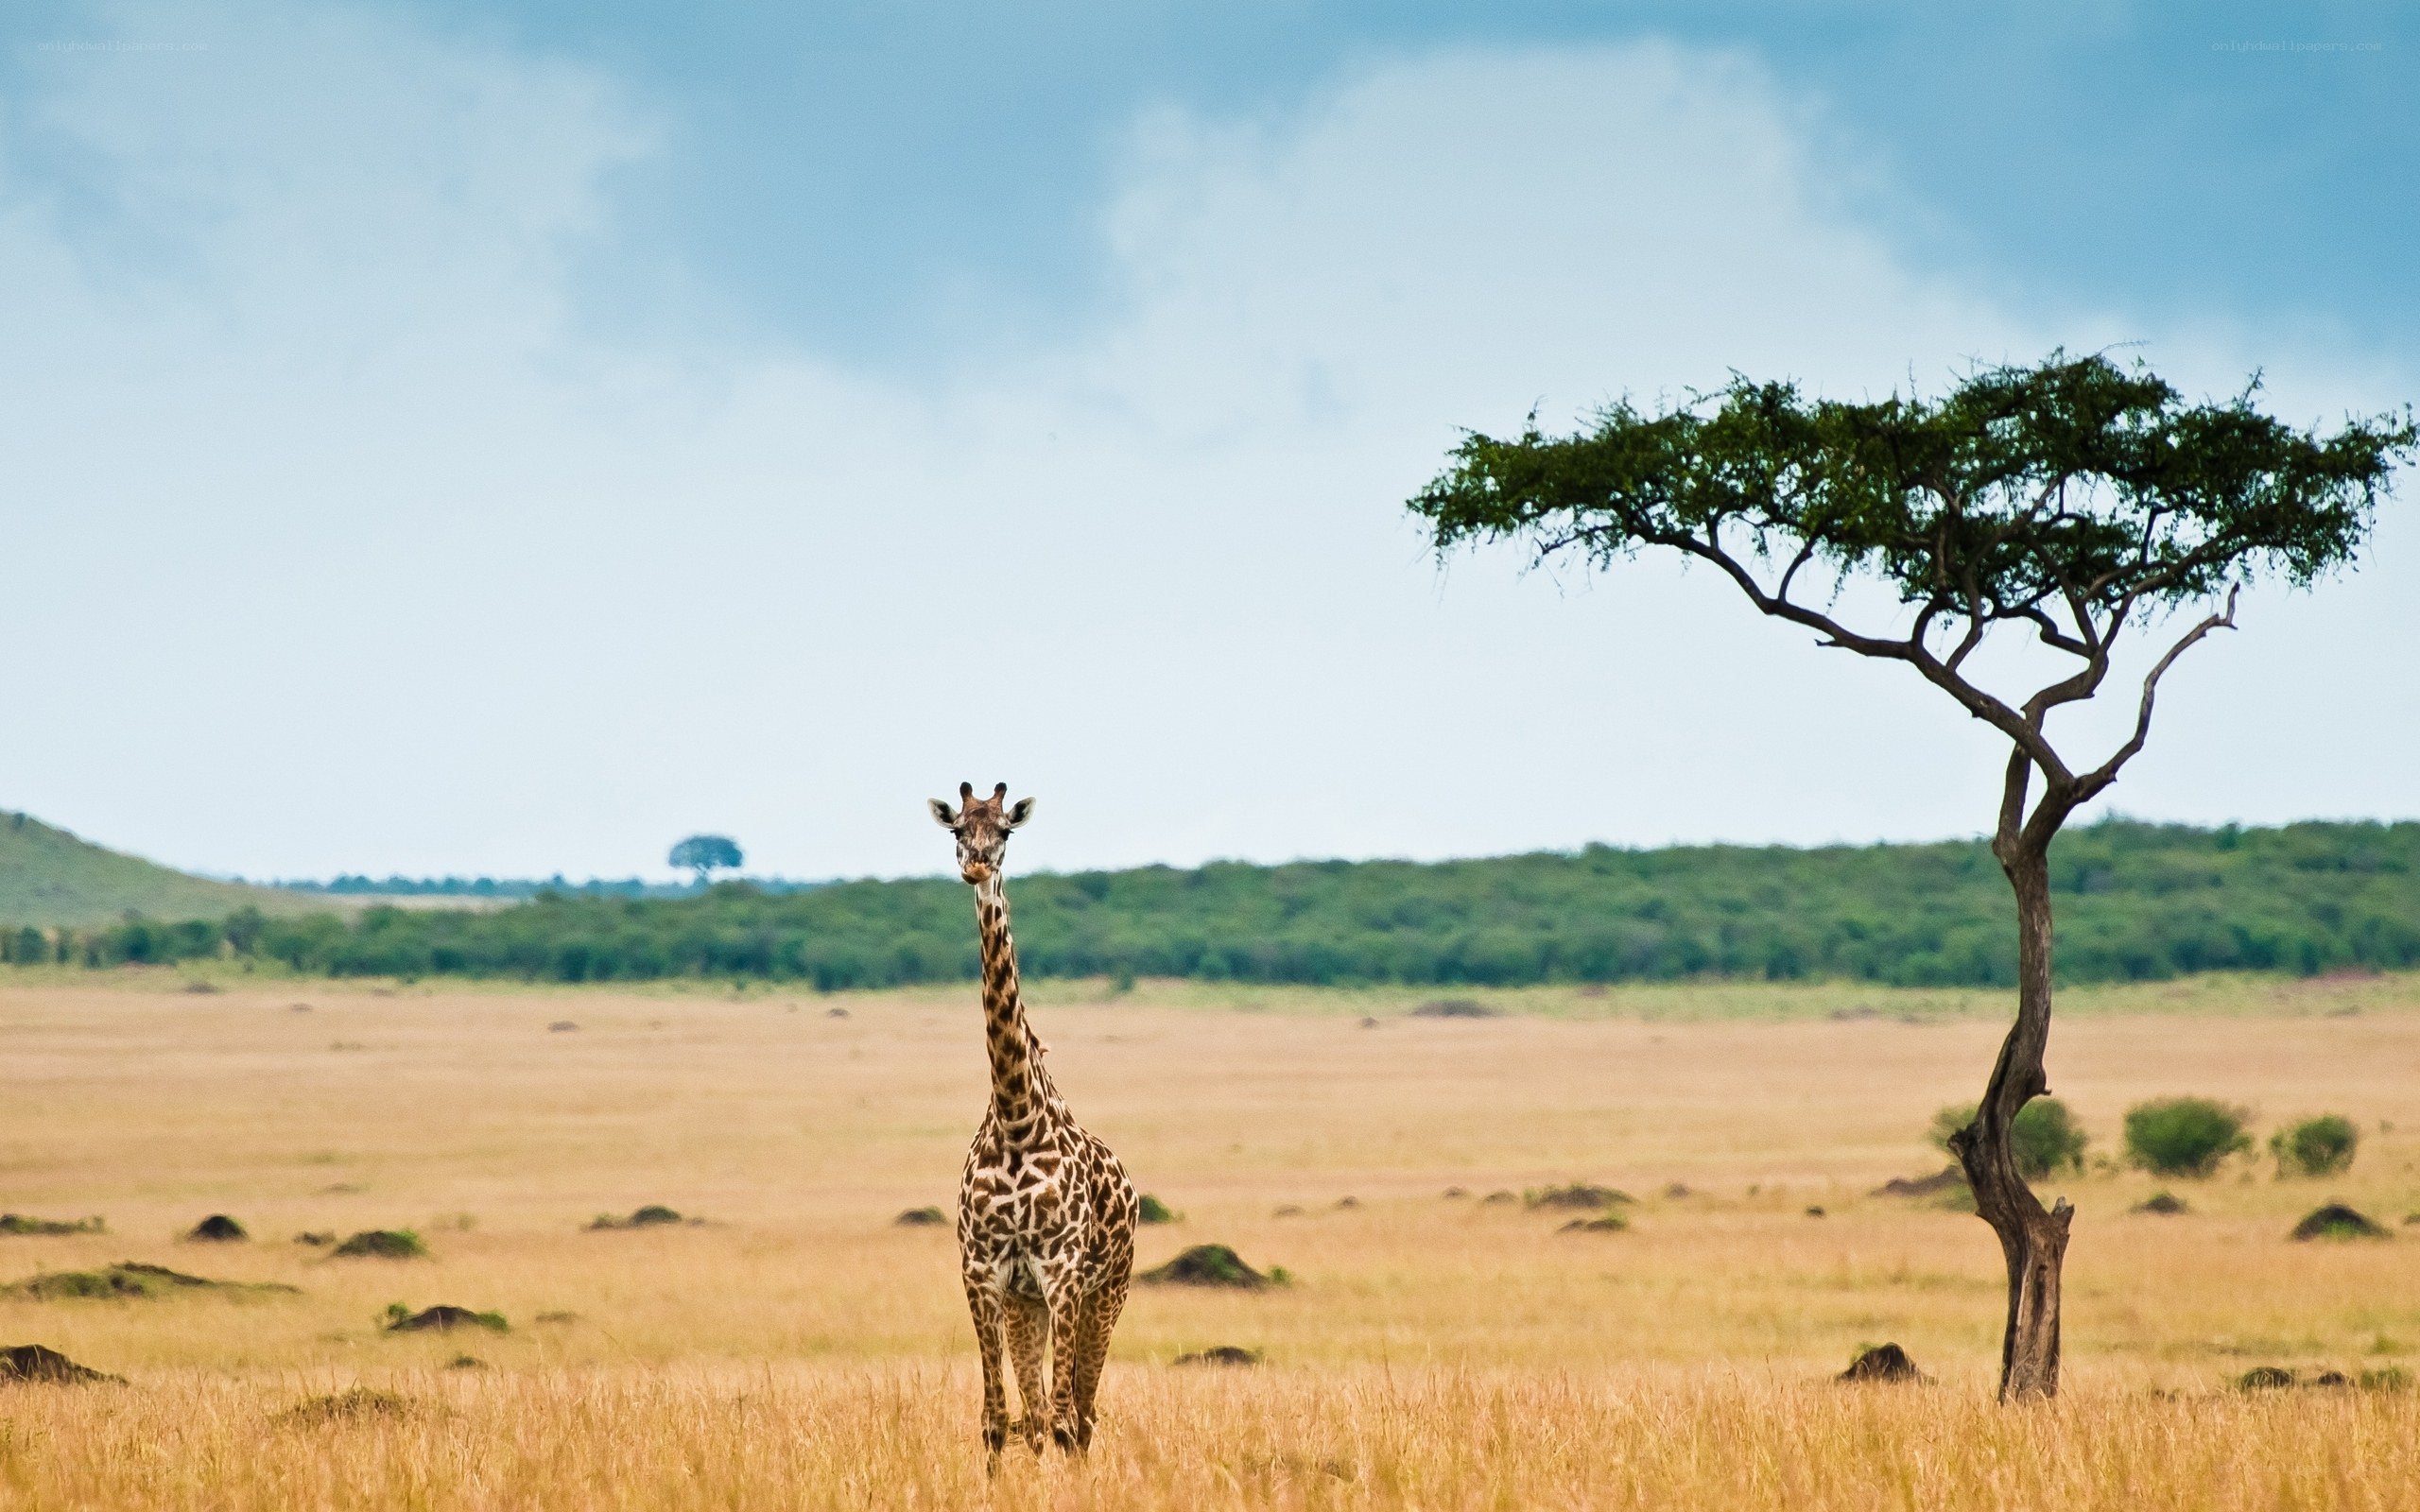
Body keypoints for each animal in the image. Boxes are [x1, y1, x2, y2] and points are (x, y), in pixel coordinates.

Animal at [928, 781, 1138, 1464]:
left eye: (1006, 831)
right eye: (957, 829)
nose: (976, 866)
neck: (1018, 1118)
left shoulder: (1064, 1274)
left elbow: (1067, 1416)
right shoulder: (984, 1274)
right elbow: (998, 1418)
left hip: (1107, 1293)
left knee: (1082, 1414)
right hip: (1028, 1306)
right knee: (1040, 1412)